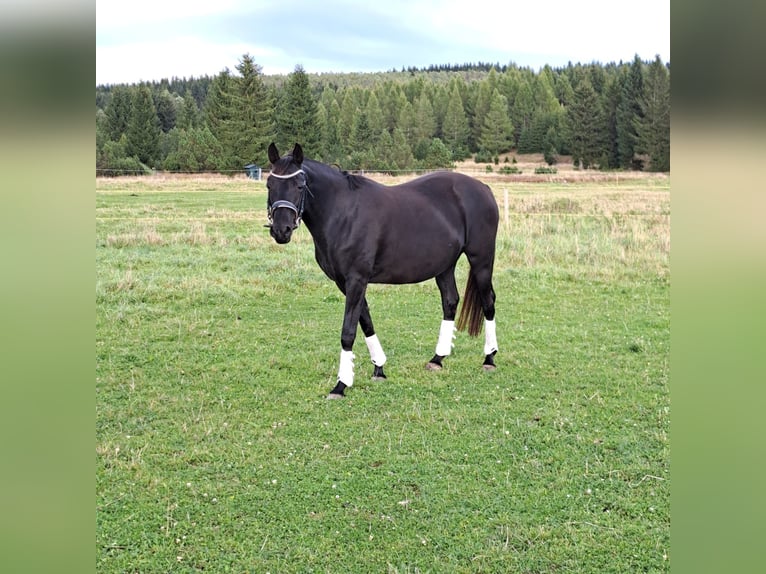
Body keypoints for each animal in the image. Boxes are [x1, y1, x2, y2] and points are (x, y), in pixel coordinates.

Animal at [268, 143, 500, 400]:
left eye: (299, 186)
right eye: (269, 184)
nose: (281, 230)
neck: (343, 212)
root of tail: (483, 188)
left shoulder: (356, 280)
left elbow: (348, 331)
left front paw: (341, 385)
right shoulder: (345, 282)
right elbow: (366, 321)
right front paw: (379, 369)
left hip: (481, 259)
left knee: (488, 301)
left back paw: (489, 358)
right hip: (444, 266)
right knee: (450, 301)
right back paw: (437, 359)